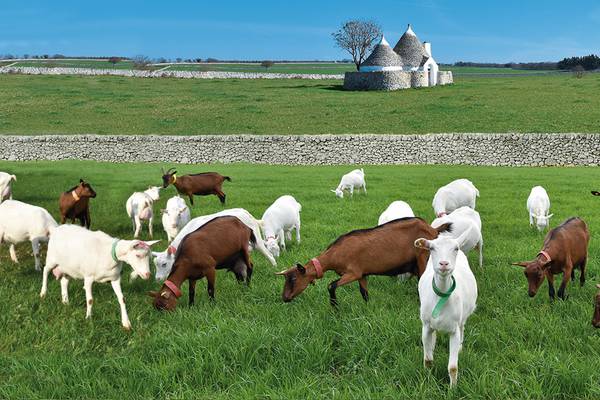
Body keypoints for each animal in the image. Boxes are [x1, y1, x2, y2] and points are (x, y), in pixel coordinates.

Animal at [274, 217, 448, 304]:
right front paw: (368, 310)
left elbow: (331, 285)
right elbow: (364, 293)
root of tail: (433, 230)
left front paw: (335, 307)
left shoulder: (353, 273)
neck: (335, 254)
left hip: (423, 258)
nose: (285, 298)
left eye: (293, 279)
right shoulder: (363, 274)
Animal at [418, 228, 478, 388]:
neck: (441, 297)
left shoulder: (454, 330)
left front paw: (453, 389)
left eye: (455, 248)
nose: (444, 263)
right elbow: (428, 360)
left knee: (463, 327)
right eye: (431, 248)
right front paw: (427, 380)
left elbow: (453, 367)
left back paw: (461, 348)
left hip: (463, 318)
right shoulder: (426, 325)